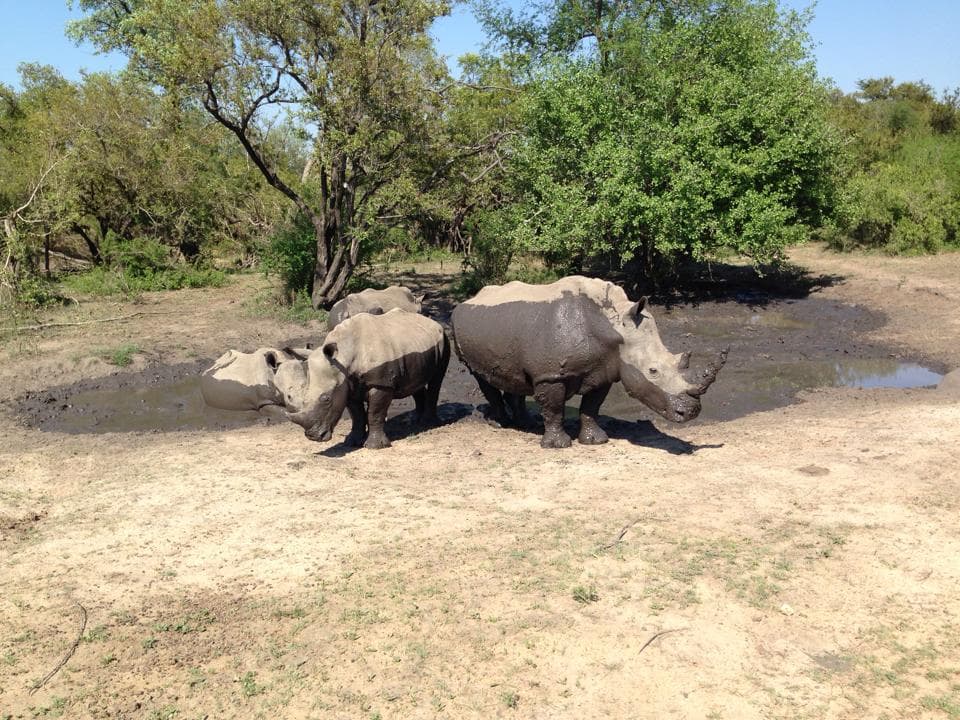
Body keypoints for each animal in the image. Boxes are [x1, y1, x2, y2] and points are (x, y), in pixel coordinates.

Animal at [276, 309, 450, 449]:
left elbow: (375, 412)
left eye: (326, 399)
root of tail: (432, 321)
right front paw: (352, 442)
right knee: (415, 381)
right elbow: (357, 415)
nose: (313, 437)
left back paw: (429, 423)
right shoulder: (347, 384)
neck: (343, 357)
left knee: (437, 380)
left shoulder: (381, 384)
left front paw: (375, 446)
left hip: (444, 339)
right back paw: (414, 421)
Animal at [451, 275, 727, 448]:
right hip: (462, 327)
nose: (691, 412)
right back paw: (499, 424)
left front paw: (595, 441)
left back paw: (526, 422)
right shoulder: (551, 373)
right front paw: (558, 446)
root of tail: (466, 301)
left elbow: (592, 407)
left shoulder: (604, 369)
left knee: (514, 376)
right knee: (481, 376)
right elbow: (554, 408)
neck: (614, 326)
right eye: (653, 370)